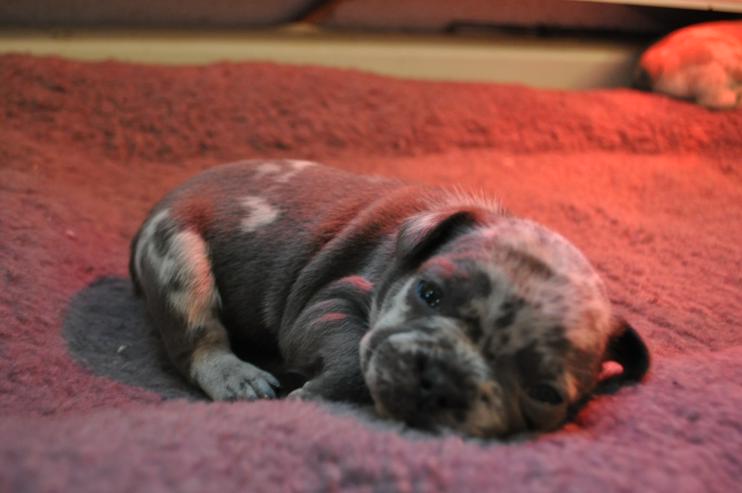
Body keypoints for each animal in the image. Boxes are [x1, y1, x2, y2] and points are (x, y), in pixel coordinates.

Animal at [132, 160, 652, 436]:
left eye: (545, 393)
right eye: (429, 293)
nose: (441, 379)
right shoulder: (330, 303)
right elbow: (348, 357)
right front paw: (314, 395)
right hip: (177, 256)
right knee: (197, 338)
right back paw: (238, 377)